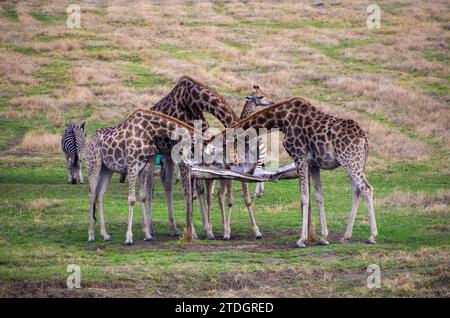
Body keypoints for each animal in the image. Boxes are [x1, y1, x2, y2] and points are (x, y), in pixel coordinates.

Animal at [86, 108, 202, 245]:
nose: (192, 164)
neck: (149, 130)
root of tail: (91, 139)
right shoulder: (132, 165)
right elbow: (131, 200)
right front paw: (129, 238)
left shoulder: (144, 166)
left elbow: (143, 196)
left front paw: (147, 234)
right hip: (94, 165)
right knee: (91, 195)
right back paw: (91, 236)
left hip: (107, 170)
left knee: (100, 196)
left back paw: (105, 235)